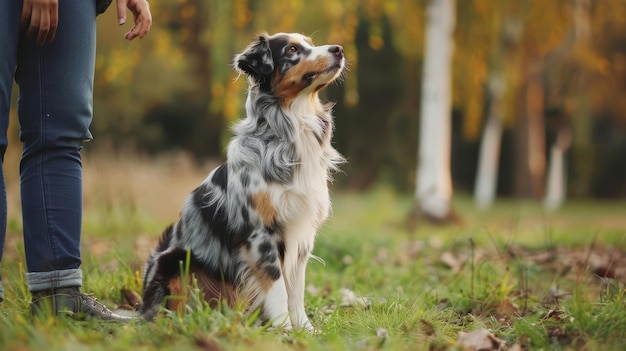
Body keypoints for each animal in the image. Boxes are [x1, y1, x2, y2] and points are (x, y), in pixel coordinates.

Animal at [139, 31, 344, 332]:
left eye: (309, 42)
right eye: (292, 50)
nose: (339, 49)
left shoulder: (302, 233)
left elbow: (296, 290)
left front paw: (305, 330)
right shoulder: (260, 235)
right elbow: (278, 289)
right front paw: (284, 330)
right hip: (174, 261)